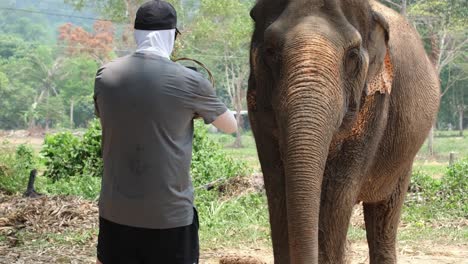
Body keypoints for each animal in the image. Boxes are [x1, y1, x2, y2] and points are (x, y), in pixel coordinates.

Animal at [247, 0, 440, 264]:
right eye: (270, 50)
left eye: (353, 55)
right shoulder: (257, 107)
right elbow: (277, 184)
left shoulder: (375, 101)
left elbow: (336, 193)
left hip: (405, 157)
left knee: (385, 213)